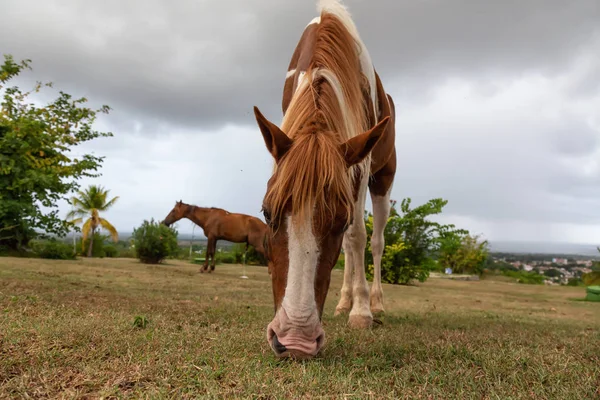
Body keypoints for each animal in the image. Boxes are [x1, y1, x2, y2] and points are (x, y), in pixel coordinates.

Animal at [254, 0, 398, 360]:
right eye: (267, 212)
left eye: (341, 218)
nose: (295, 342)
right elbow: (349, 243)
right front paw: (350, 303)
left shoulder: (360, 164)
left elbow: (358, 236)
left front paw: (362, 312)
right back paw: (344, 300)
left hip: (383, 179)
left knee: (376, 242)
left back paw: (373, 302)